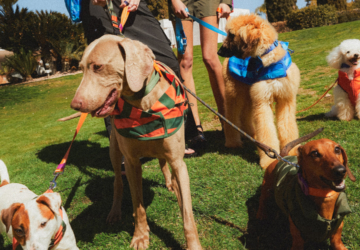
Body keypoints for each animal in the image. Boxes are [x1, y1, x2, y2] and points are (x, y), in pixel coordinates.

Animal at [69, 34, 202, 250]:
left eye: (97, 67)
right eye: (80, 68)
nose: (75, 105)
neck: (143, 105)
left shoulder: (178, 162)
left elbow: (187, 213)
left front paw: (193, 244)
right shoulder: (131, 163)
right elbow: (138, 205)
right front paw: (140, 236)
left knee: (164, 164)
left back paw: (170, 183)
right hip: (115, 151)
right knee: (117, 181)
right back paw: (115, 212)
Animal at [219, 14, 300, 169]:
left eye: (231, 34)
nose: (219, 52)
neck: (270, 63)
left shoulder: (285, 99)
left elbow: (287, 127)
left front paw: (292, 151)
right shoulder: (262, 101)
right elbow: (266, 129)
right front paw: (269, 160)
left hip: (248, 94)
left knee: (245, 116)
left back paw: (252, 136)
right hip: (235, 94)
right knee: (231, 117)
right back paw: (233, 142)